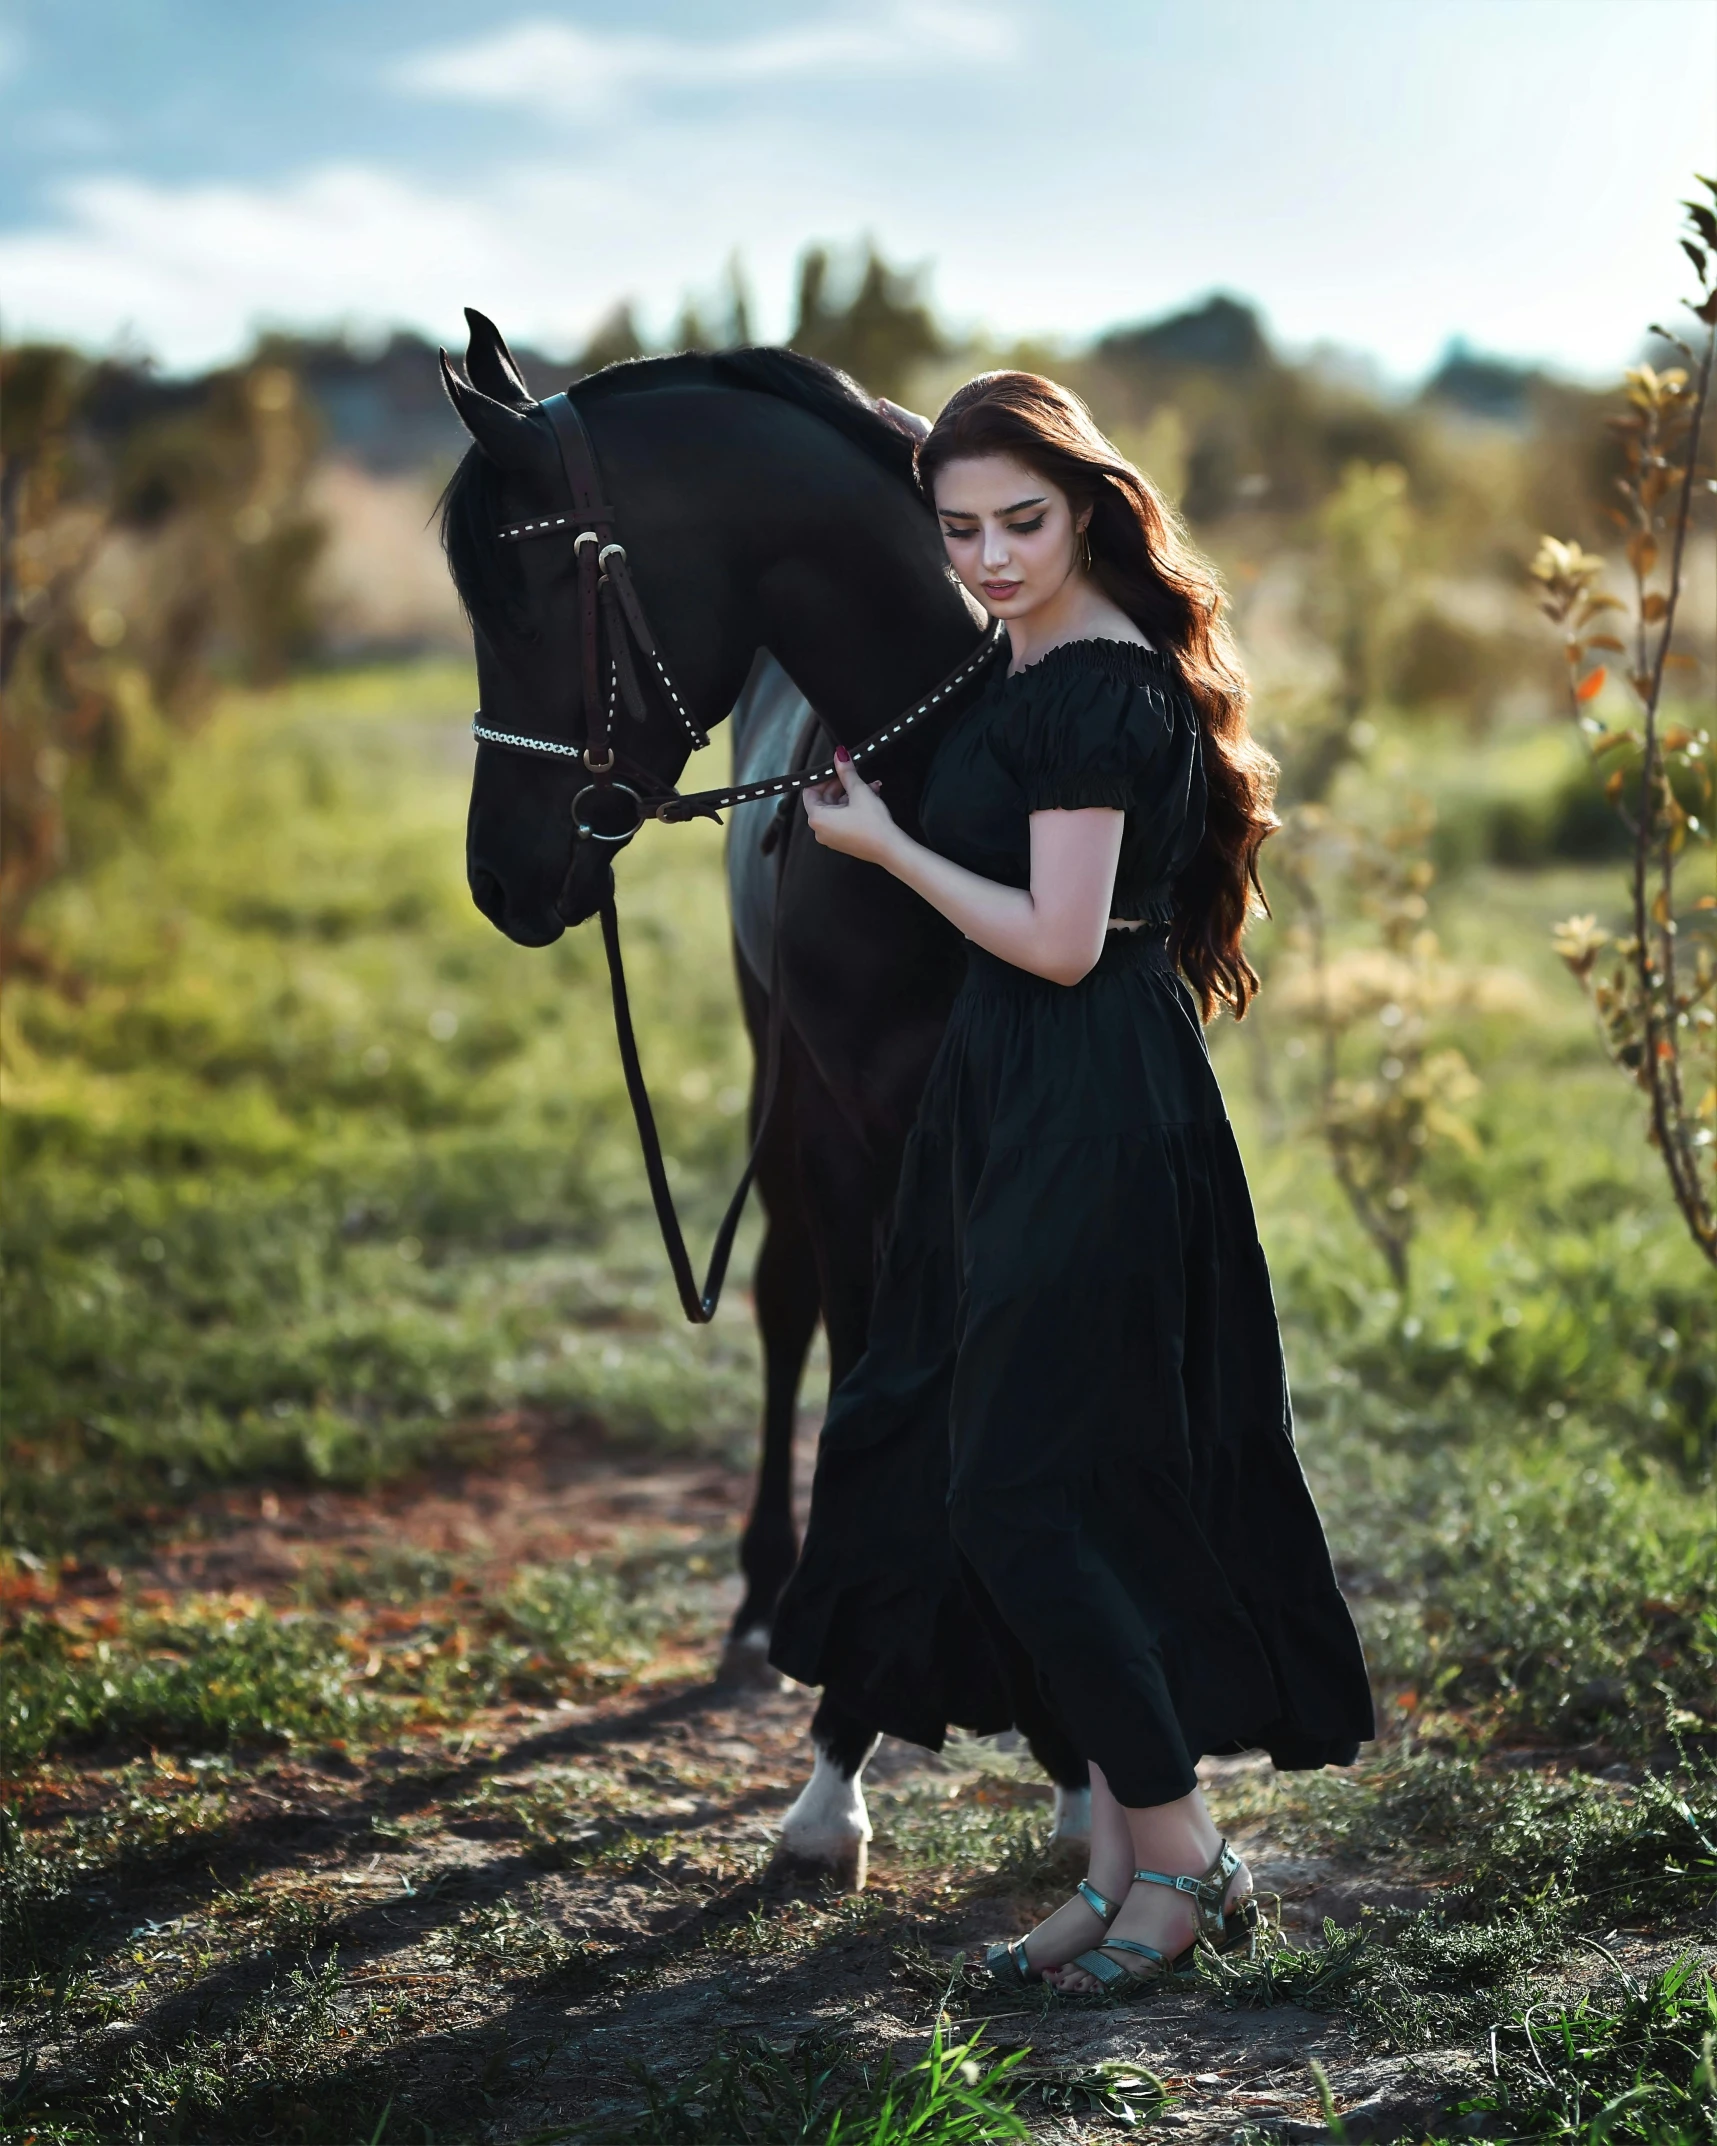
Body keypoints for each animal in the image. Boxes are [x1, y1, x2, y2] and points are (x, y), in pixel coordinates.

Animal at [442, 306, 1086, 1879]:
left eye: (534, 596)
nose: (499, 880)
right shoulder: (849, 1138)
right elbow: (858, 1380)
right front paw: (839, 1759)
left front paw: (1071, 1750)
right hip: (777, 1092)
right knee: (789, 1303)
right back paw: (759, 1604)